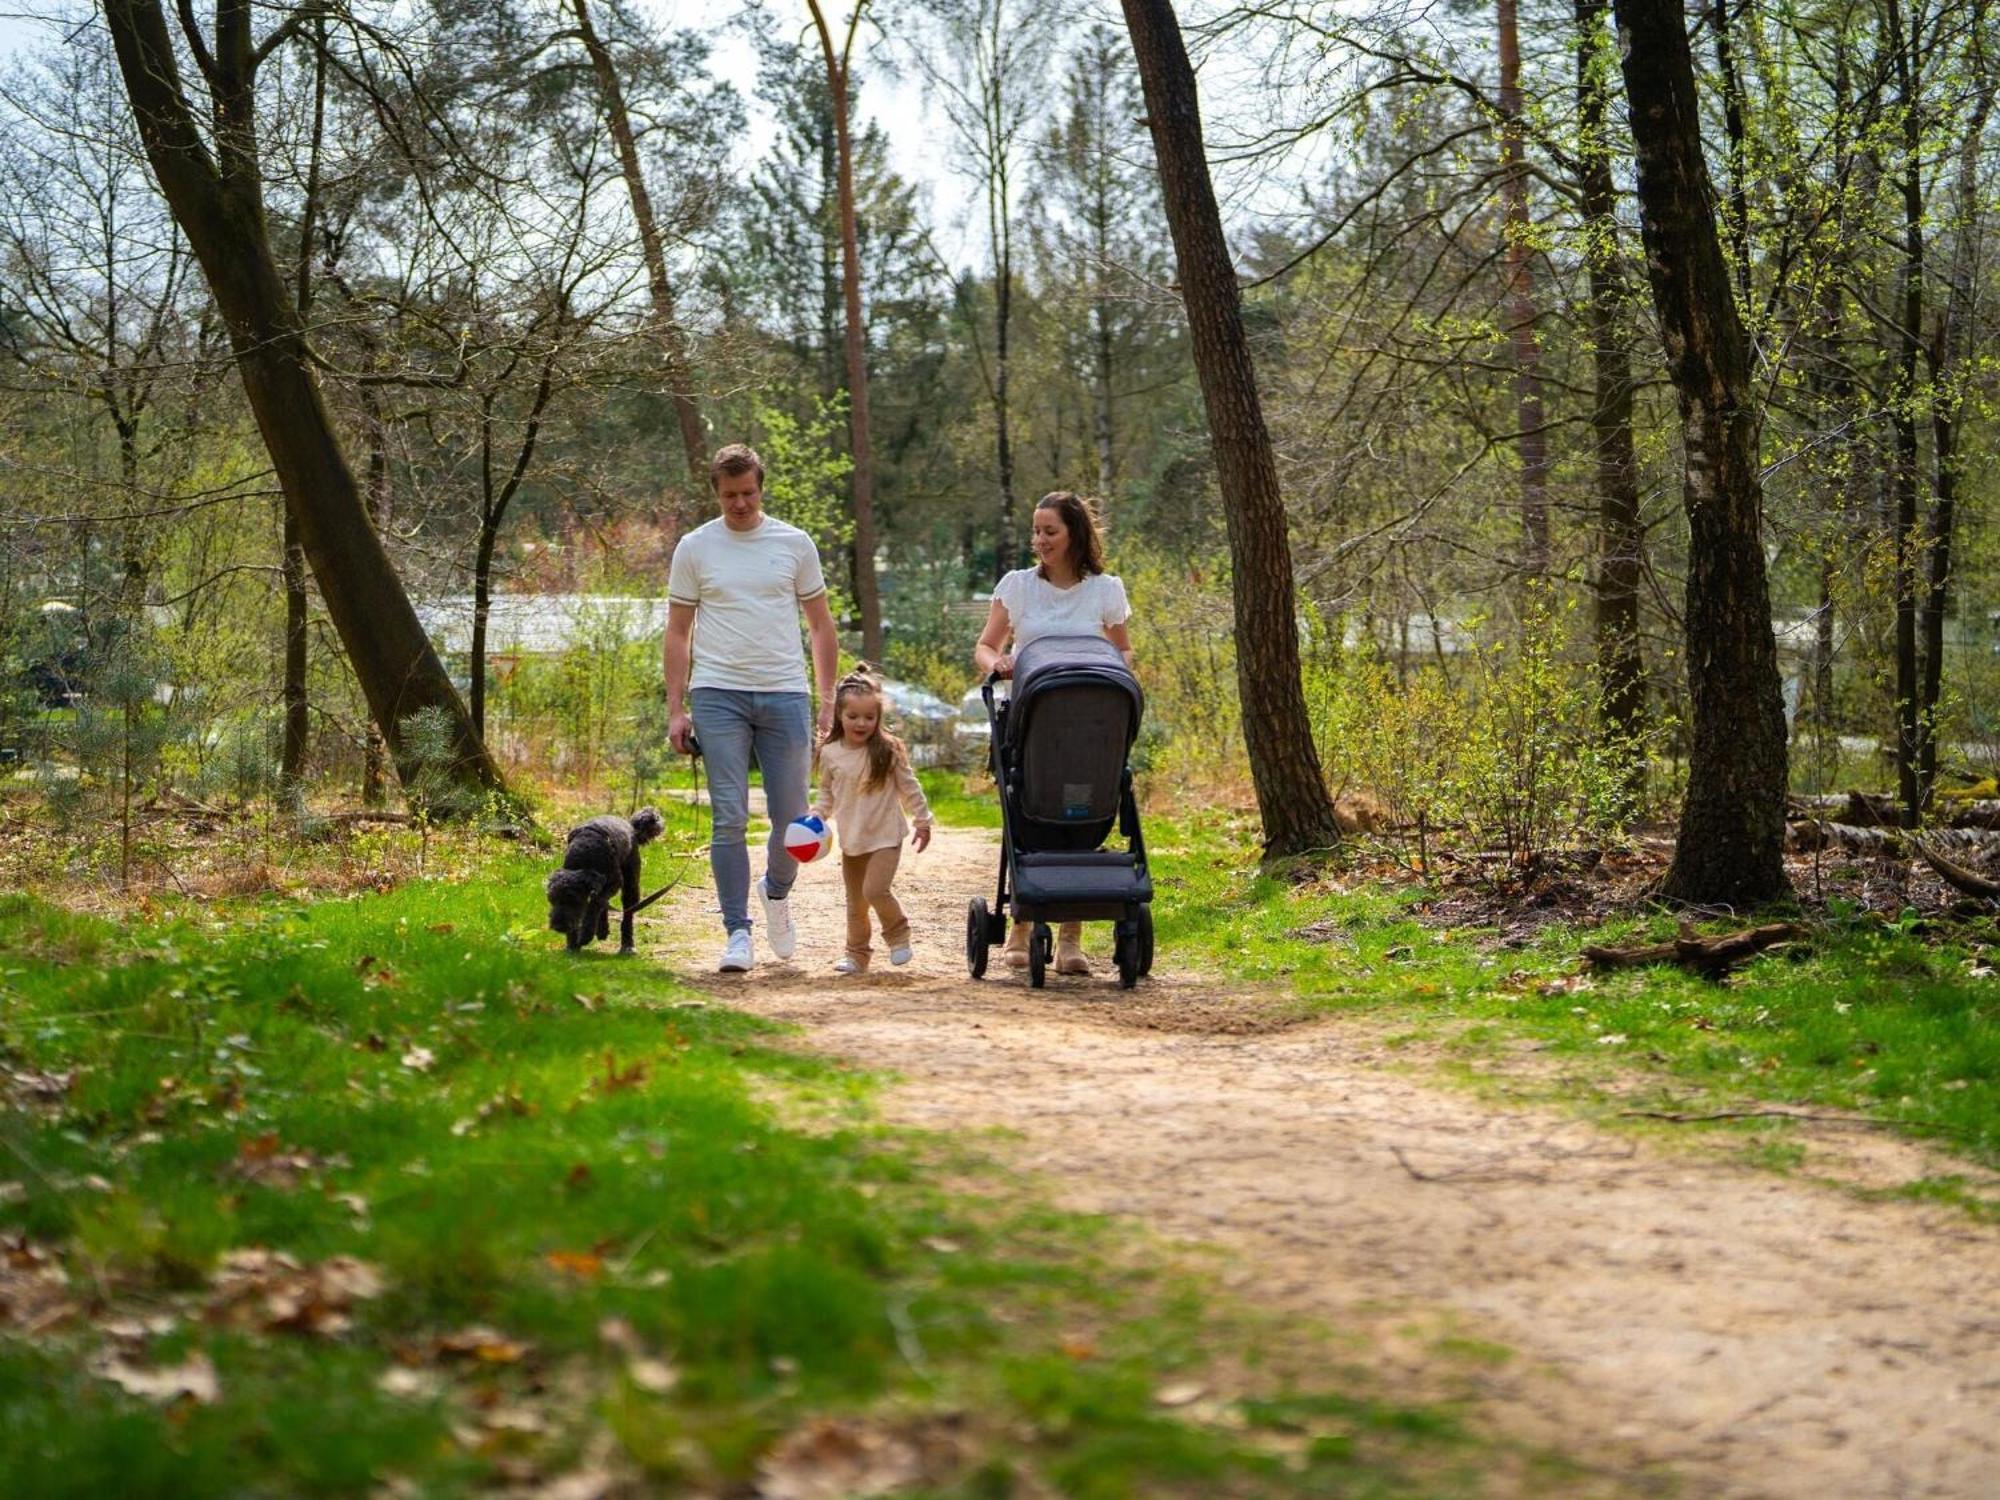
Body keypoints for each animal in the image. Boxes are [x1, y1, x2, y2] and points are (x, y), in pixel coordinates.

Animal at [548, 812, 664, 952]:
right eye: (551, 899)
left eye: (573, 899)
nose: (558, 926)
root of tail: (630, 825)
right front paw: (572, 944)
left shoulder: (614, 883)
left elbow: (594, 905)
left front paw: (585, 935)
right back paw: (603, 930)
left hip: (630, 883)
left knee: (627, 913)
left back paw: (627, 945)